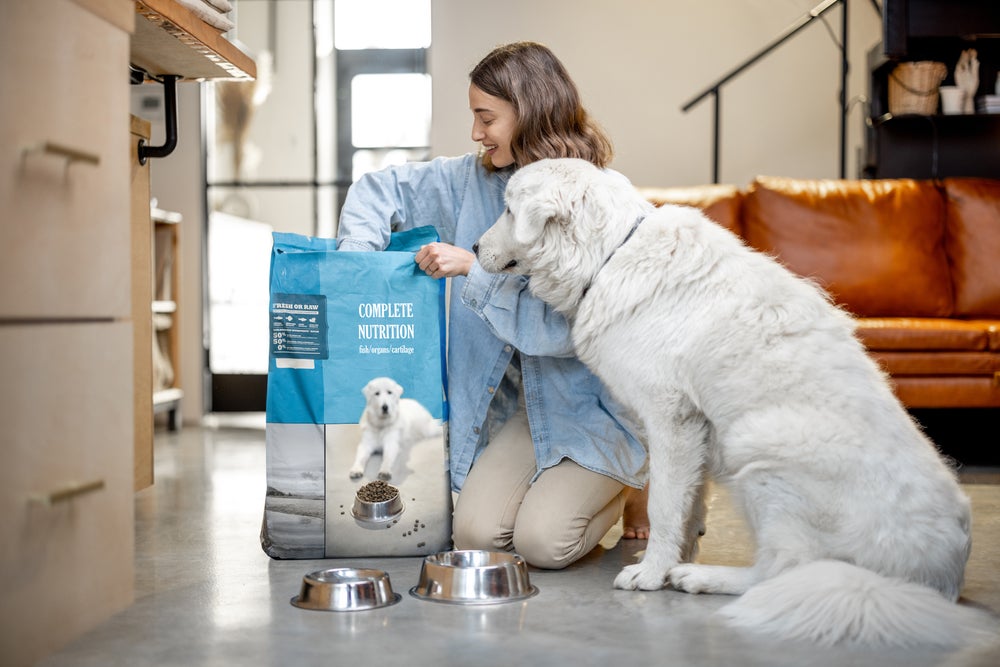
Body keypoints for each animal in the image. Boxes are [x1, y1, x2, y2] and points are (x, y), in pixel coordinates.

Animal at [472, 159, 996, 648]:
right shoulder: (695, 431)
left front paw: (653, 573)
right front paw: (673, 557)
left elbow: (664, 505)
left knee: (782, 572)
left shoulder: (670, 419)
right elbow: (689, 507)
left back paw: (704, 578)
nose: (474, 249)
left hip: (758, 447)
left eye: (509, 209)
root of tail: (938, 580)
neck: (611, 255)